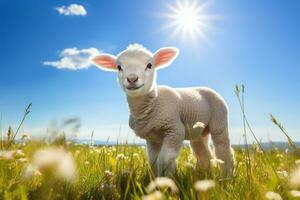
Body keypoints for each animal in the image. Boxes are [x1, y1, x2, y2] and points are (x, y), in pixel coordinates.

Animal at [91, 44, 234, 177]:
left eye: (149, 65)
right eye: (119, 67)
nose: (132, 79)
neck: (154, 102)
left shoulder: (175, 130)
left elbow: (164, 159)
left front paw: (167, 182)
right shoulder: (152, 138)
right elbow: (153, 160)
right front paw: (156, 180)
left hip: (219, 119)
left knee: (223, 150)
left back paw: (226, 177)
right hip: (198, 130)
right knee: (203, 153)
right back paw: (203, 176)